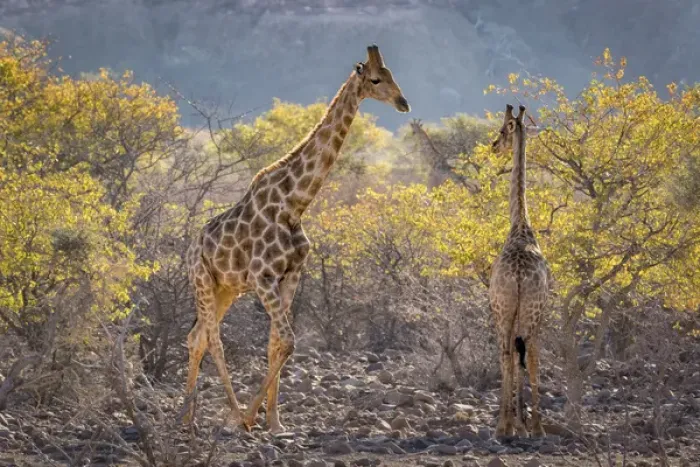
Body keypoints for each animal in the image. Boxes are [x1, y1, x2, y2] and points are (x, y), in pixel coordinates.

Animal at [182, 45, 409, 434]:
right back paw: (230, 415)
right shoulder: (263, 277)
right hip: (202, 281)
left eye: (393, 75)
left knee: (196, 338)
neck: (295, 203)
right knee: (213, 340)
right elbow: (287, 340)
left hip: (224, 289)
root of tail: (192, 246)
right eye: (377, 79)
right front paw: (250, 417)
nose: (403, 102)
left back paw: (184, 416)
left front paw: (275, 423)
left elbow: (277, 343)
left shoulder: (291, 276)